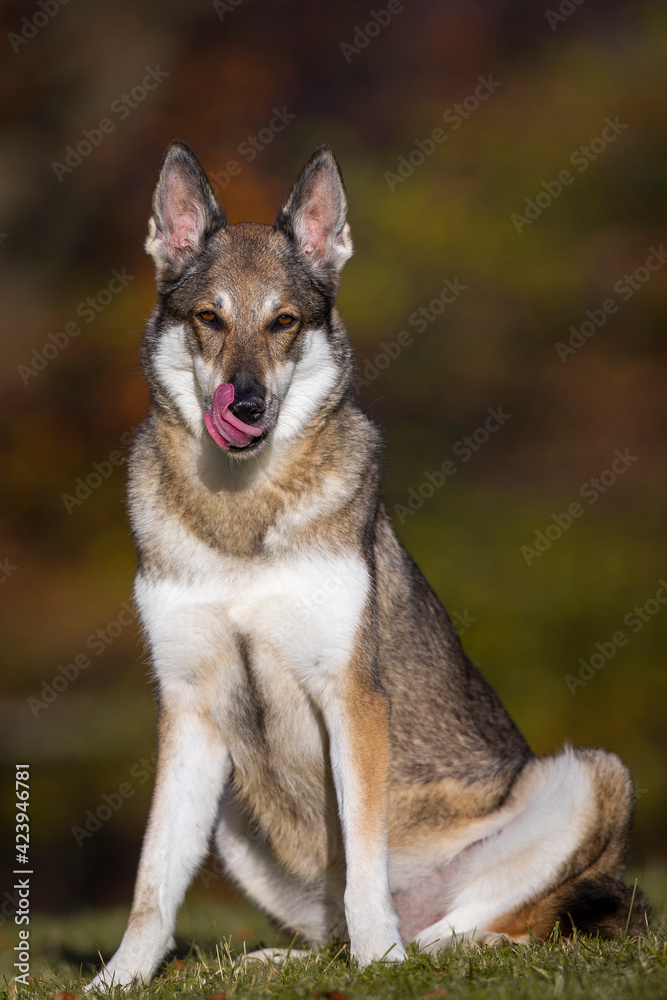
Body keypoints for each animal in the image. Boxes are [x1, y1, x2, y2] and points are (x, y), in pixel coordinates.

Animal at [88, 143, 648, 992]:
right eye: (209, 319)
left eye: (283, 322)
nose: (245, 406)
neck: (242, 515)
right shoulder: (189, 708)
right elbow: (153, 886)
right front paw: (116, 981)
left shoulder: (350, 697)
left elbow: (361, 863)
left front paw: (380, 963)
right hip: (234, 807)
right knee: (329, 934)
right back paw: (281, 959)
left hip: (594, 776)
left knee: (498, 928)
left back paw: (419, 951)